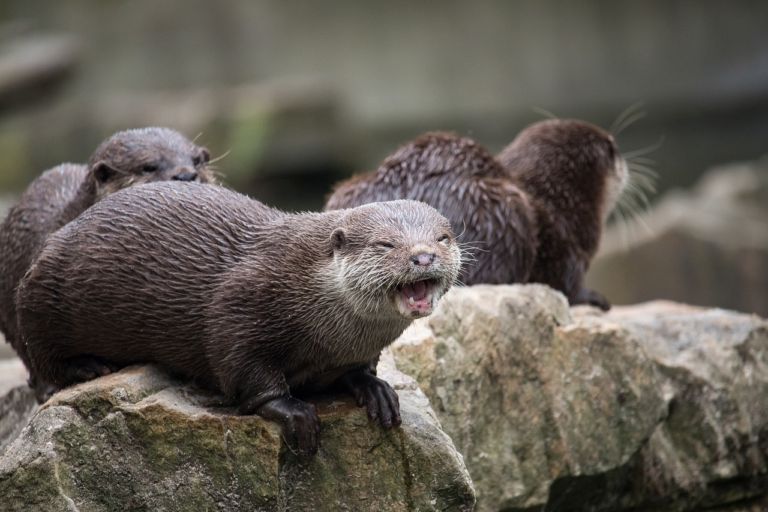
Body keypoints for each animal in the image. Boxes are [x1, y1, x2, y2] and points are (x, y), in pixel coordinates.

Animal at [17, 182, 461, 455]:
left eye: (443, 238)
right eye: (385, 244)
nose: (423, 256)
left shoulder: (357, 349)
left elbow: (358, 370)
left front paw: (375, 389)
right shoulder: (241, 303)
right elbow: (240, 365)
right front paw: (294, 412)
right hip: (42, 293)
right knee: (40, 355)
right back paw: (87, 367)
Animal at [325, 120, 627, 310]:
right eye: (613, 149)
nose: (625, 163)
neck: (562, 201)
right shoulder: (567, 246)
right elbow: (567, 286)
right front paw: (594, 297)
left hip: (347, 188)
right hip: (505, 212)